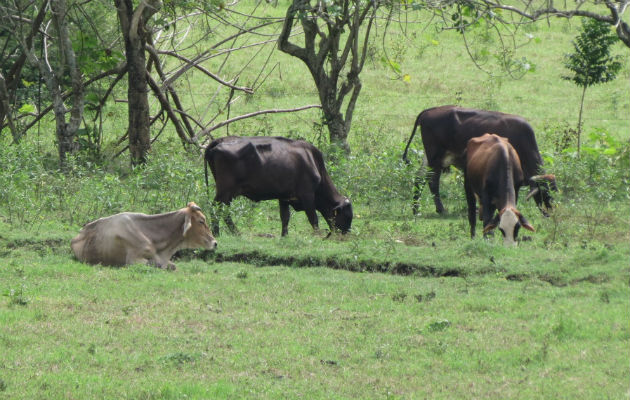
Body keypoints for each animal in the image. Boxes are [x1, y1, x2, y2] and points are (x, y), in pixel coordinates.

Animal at [207, 136, 356, 236]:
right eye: (347, 216)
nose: (346, 234)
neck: (312, 161)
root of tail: (220, 141)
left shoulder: (284, 197)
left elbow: (285, 218)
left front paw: (284, 236)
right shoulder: (307, 195)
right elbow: (313, 218)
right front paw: (317, 235)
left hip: (227, 193)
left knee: (223, 211)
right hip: (225, 191)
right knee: (217, 209)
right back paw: (221, 232)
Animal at [404, 104, 556, 214]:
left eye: (553, 190)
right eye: (544, 191)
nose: (550, 211)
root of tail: (429, 111)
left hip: (430, 157)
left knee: (418, 178)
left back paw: (416, 209)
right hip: (436, 157)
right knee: (433, 182)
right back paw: (440, 209)